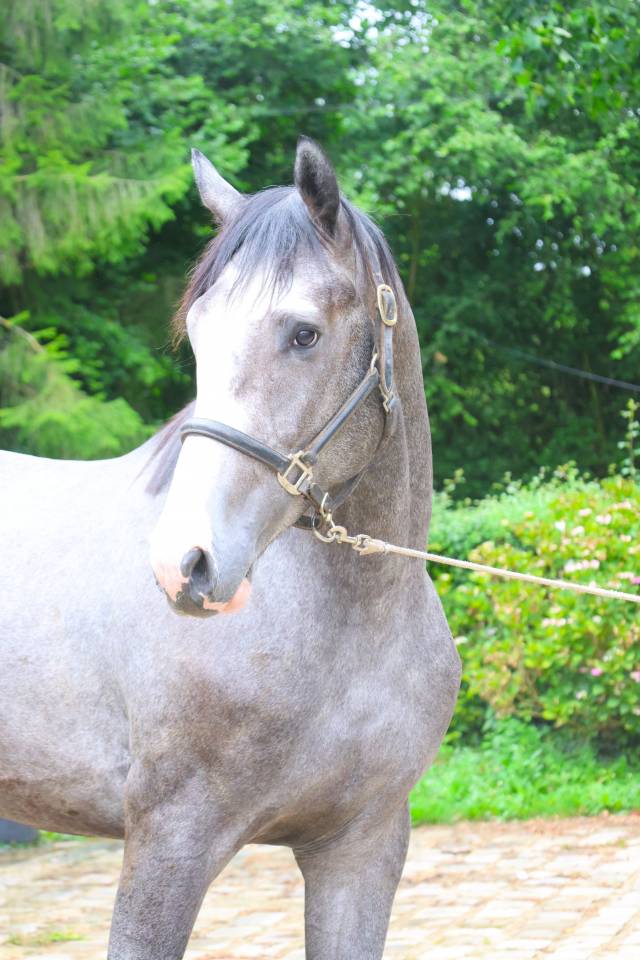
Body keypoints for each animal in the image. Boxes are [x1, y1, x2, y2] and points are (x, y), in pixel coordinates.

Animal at [0, 138, 460, 959]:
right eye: (199, 334)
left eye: (303, 333)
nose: (184, 563)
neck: (351, 632)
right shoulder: (170, 843)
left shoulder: (361, 850)